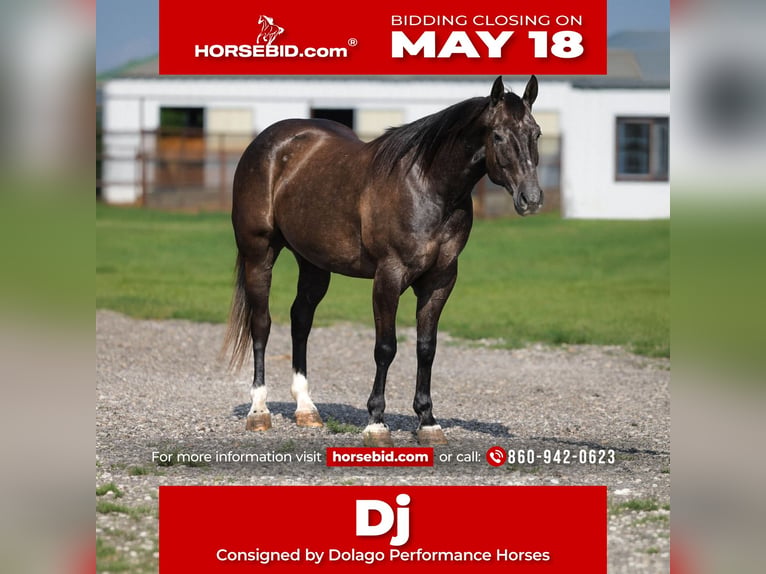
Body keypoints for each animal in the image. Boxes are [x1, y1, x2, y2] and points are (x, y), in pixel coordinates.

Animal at [224, 76, 543, 446]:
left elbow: (426, 348)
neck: (427, 186)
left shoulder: (440, 281)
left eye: (535, 133)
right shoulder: (389, 276)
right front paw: (376, 422)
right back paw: (258, 411)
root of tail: (267, 142)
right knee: (261, 324)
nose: (531, 199)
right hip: (258, 254)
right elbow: (386, 347)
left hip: (314, 263)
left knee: (300, 320)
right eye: (498, 136)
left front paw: (428, 421)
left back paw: (306, 409)